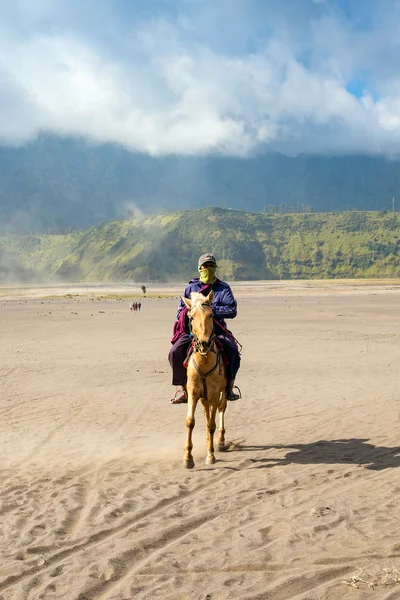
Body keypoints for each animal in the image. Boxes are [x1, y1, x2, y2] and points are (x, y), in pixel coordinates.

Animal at [180, 290, 227, 468]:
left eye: (211, 315)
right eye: (191, 317)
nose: (205, 343)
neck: (205, 361)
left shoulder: (214, 394)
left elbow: (211, 424)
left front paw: (210, 455)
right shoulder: (193, 392)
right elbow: (190, 421)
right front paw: (188, 458)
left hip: (223, 391)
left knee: (221, 408)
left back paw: (220, 441)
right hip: (203, 397)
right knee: (207, 412)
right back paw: (208, 440)